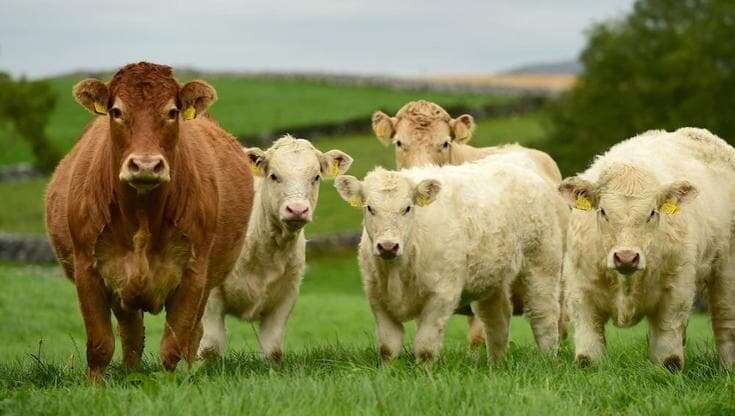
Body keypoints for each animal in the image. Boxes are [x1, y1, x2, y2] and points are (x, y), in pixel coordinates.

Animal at [45, 62, 256, 380]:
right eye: (116, 111)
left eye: (172, 111)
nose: (145, 165)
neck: (142, 217)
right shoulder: (88, 270)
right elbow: (100, 345)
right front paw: (96, 386)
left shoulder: (193, 275)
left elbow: (173, 345)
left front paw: (172, 383)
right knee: (132, 334)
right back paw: (130, 372)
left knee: (191, 335)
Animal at [198, 137, 354, 360]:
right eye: (274, 175)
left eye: (315, 177)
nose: (297, 209)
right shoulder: (209, 293)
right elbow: (211, 346)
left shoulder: (286, 294)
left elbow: (272, 349)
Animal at [336, 153, 568, 360]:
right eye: (369, 208)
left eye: (407, 208)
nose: (387, 246)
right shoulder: (376, 298)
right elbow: (387, 348)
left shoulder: (442, 295)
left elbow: (426, 347)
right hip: (493, 279)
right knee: (497, 319)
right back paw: (496, 365)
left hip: (542, 266)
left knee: (544, 317)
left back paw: (547, 360)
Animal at [560, 127, 735, 370]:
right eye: (603, 211)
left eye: (652, 212)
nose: (626, 257)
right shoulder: (580, 292)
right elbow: (588, 358)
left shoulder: (676, 294)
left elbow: (668, 359)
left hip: (727, 270)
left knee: (726, 321)